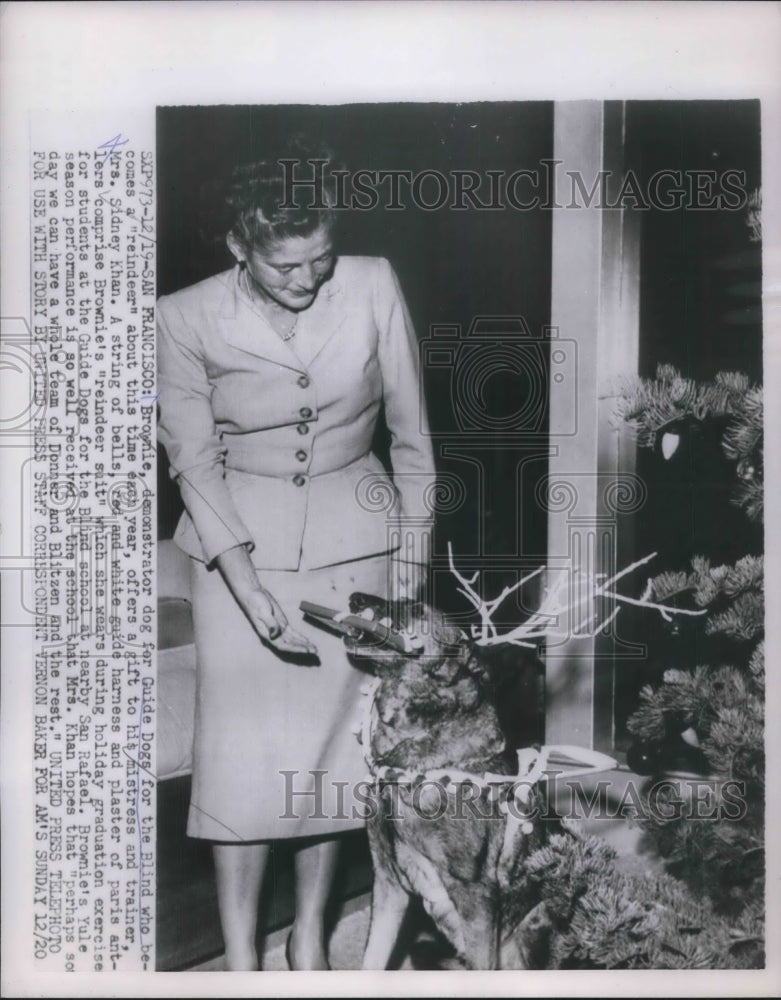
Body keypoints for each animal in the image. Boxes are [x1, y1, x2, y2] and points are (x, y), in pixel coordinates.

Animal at [338, 592, 552, 968]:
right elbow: (372, 958)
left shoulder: (477, 897)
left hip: (531, 932)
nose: (356, 598)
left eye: (416, 609)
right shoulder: (388, 884)